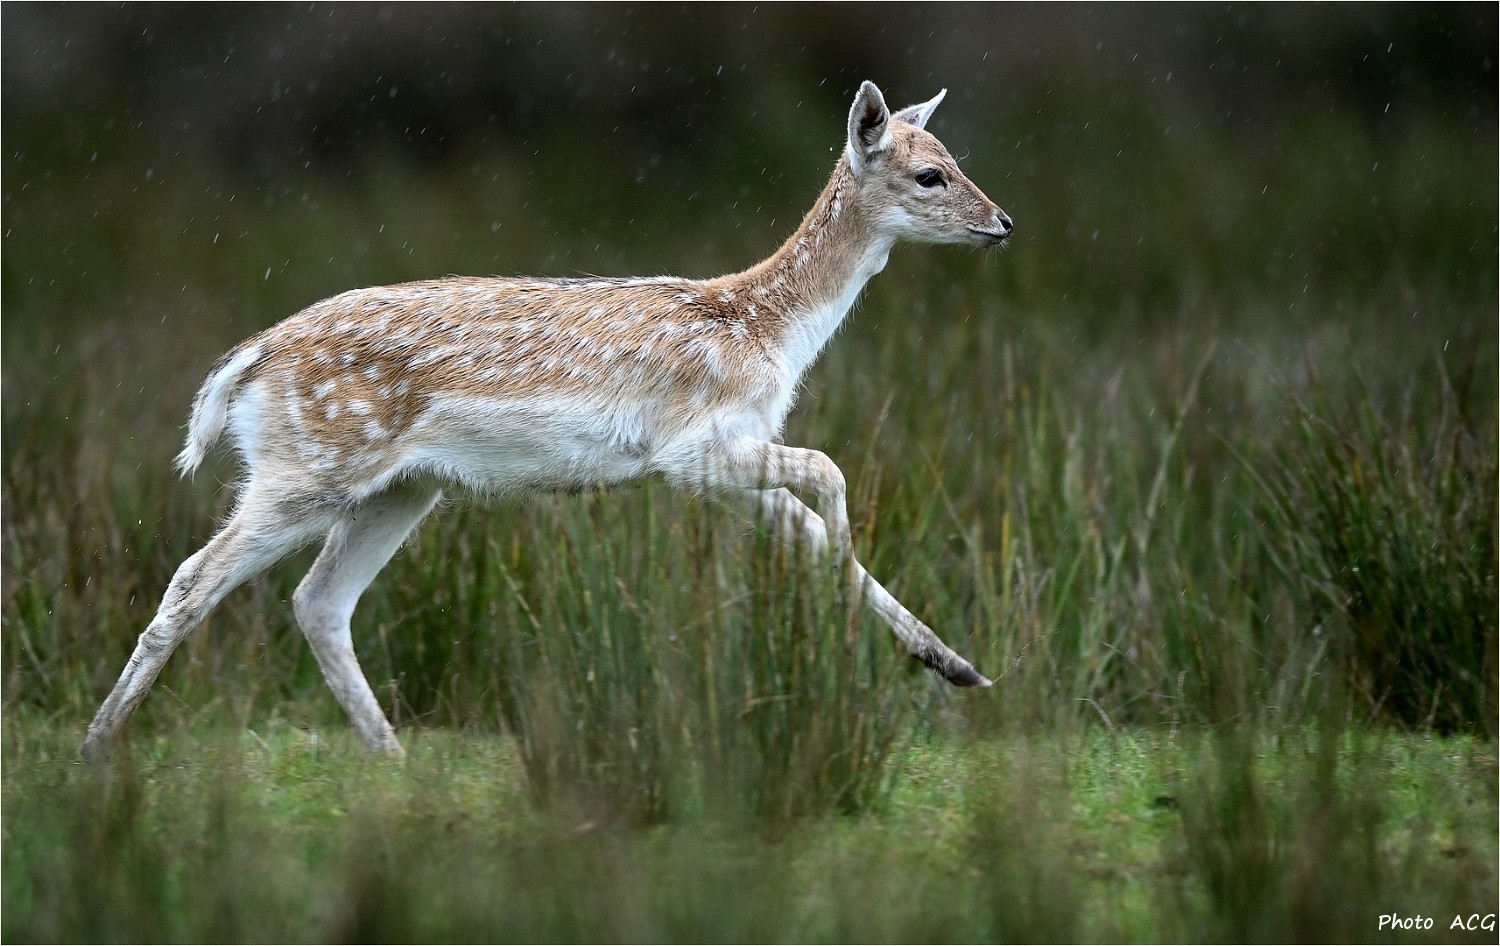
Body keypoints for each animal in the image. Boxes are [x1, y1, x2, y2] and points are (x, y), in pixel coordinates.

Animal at [80, 80, 1013, 763]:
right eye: (929, 175)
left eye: (953, 159)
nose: (1002, 222)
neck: (765, 331)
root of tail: (249, 362)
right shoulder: (689, 448)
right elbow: (832, 474)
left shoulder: (723, 462)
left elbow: (811, 535)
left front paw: (955, 666)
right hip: (307, 468)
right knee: (193, 578)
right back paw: (95, 748)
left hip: (402, 490)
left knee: (318, 600)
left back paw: (390, 754)